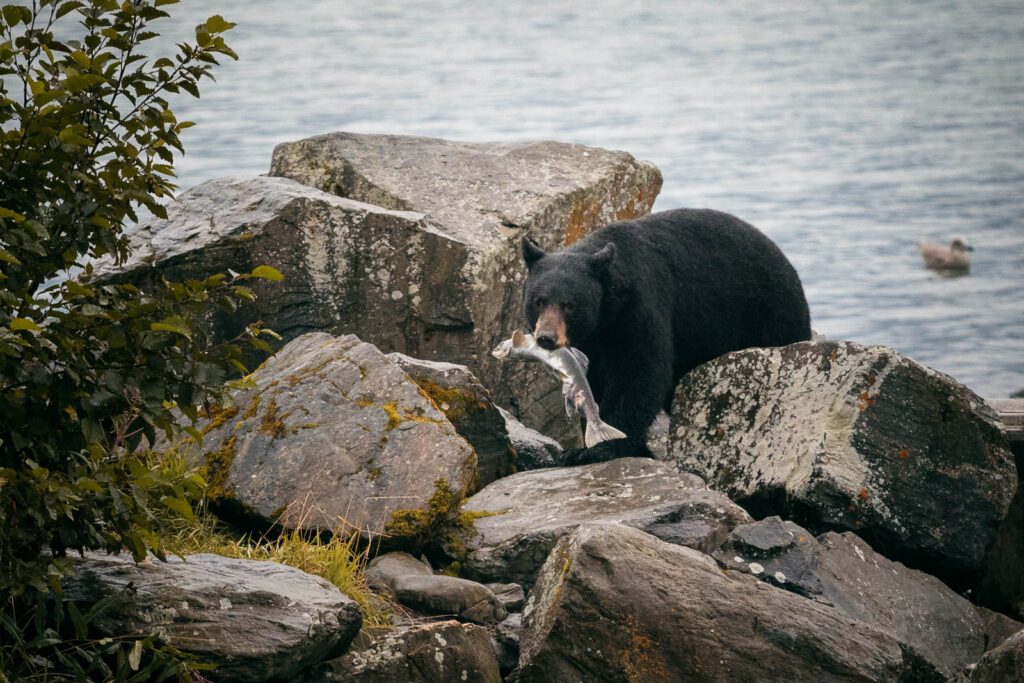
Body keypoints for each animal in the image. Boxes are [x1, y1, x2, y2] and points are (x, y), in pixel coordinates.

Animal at [524, 208, 811, 464]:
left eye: (569, 304)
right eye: (538, 301)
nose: (546, 337)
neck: (607, 315)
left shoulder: (640, 307)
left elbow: (640, 372)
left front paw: (601, 448)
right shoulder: (593, 340)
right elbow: (593, 382)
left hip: (770, 316)